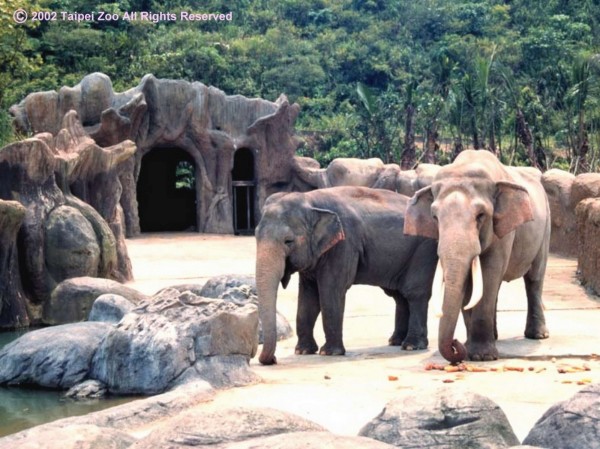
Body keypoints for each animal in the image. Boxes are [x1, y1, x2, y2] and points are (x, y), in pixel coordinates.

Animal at [253, 186, 436, 364]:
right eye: (255, 235)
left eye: (288, 241)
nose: (273, 359)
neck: (310, 199)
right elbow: (307, 297)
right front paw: (303, 351)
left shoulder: (344, 245)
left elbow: (330, 291)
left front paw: (329, 353)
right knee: (398, 295)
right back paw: (395, 341)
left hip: (424, 249)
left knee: (414, 293)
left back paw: (411, 346)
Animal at [400, 149, 552, 362]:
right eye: (435, 217)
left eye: (480, 215)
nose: (455, 344)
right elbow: (470, 285)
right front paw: (468, 347)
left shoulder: (502, 232)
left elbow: (489, 274)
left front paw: (482, 356)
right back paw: (495, 336)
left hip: (545, 228)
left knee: (534, 279)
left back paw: (537, 335)